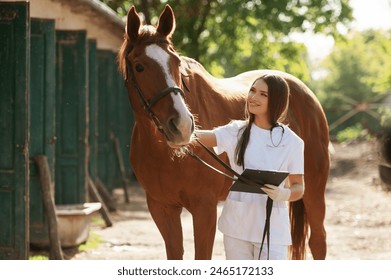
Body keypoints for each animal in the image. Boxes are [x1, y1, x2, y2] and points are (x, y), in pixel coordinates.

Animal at [118, 4, 330, 260]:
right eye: (139, 66)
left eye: (177, 63)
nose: (182, 127)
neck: (167, 156)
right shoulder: (162, 208)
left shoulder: (204, 208)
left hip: (314, 189)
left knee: (318, 241)